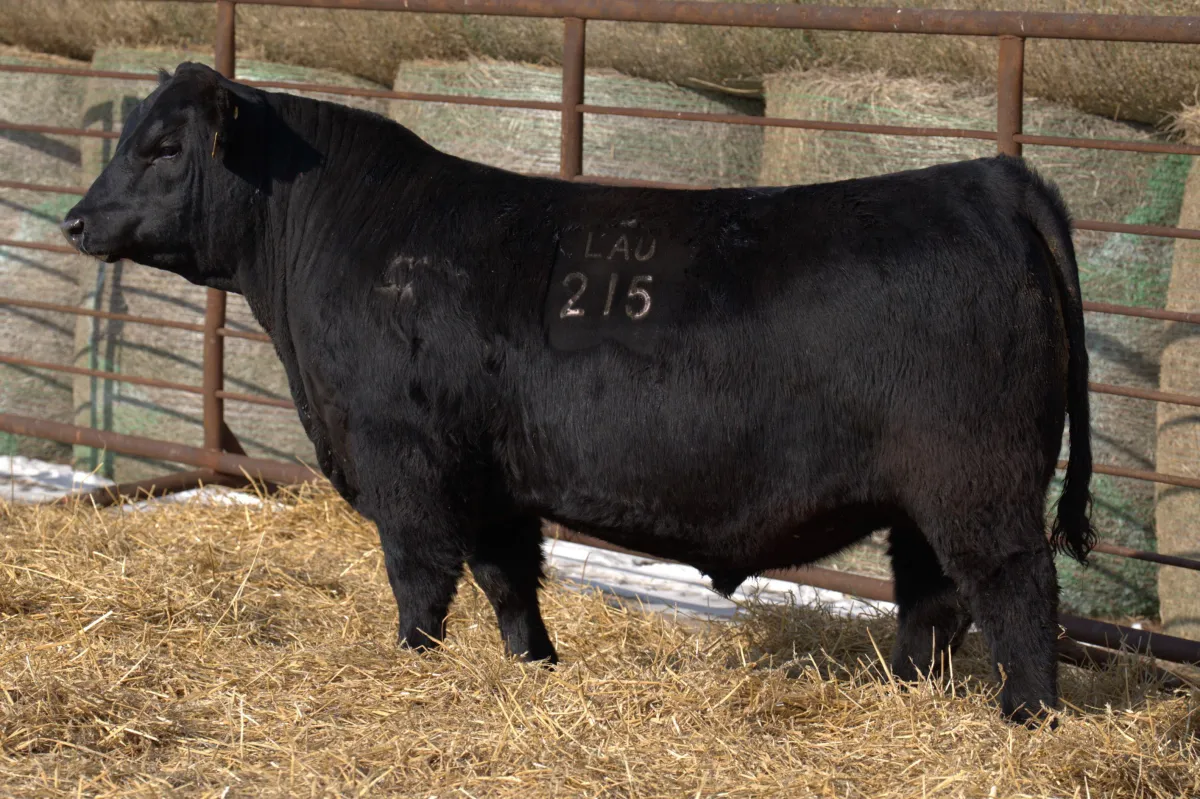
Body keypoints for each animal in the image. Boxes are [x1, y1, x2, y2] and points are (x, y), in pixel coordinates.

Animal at [61, 62, 1094, 726]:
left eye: (163, 148)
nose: (75, 219)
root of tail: (988, 177)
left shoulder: (407, 463)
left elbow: (420, 581)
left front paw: (412, 668)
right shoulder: (492, 481)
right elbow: (508, 579)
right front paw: (534, 667)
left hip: (978, 481)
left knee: (1017, 589)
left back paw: (1026, 721)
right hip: (925, 499)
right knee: (932, 600)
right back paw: (908, 697)